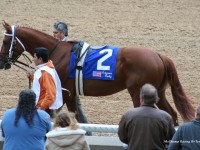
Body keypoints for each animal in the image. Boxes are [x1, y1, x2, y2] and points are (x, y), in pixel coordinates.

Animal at [0, 20, 195, 124]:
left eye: (5, 41)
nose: (2, 62)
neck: (56, 52)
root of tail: (159, 55)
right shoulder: (66, 94)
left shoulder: (66, 93)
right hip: (159, 92)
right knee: (171, 114)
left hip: (138, 92)